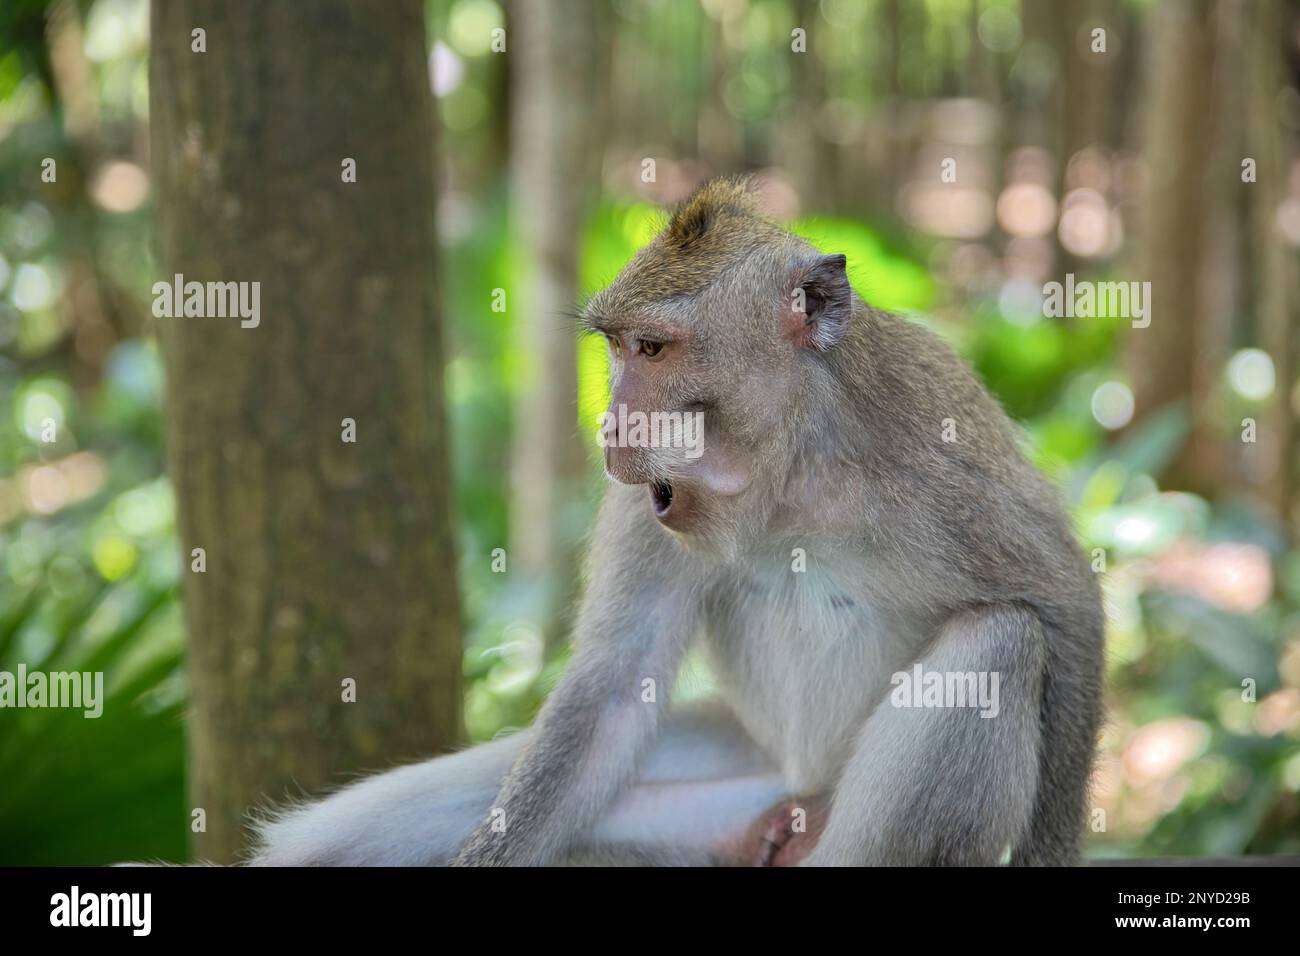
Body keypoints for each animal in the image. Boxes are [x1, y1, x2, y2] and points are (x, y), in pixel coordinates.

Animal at [253, 178, 1107, 868]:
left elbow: (1066, 601)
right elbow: (610, 688)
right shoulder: (647, 507)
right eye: (616, 348)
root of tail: (801, 790)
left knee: (999, 641)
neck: (788, 468)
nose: (611, 425)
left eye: (653, 349)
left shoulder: (939, 466)